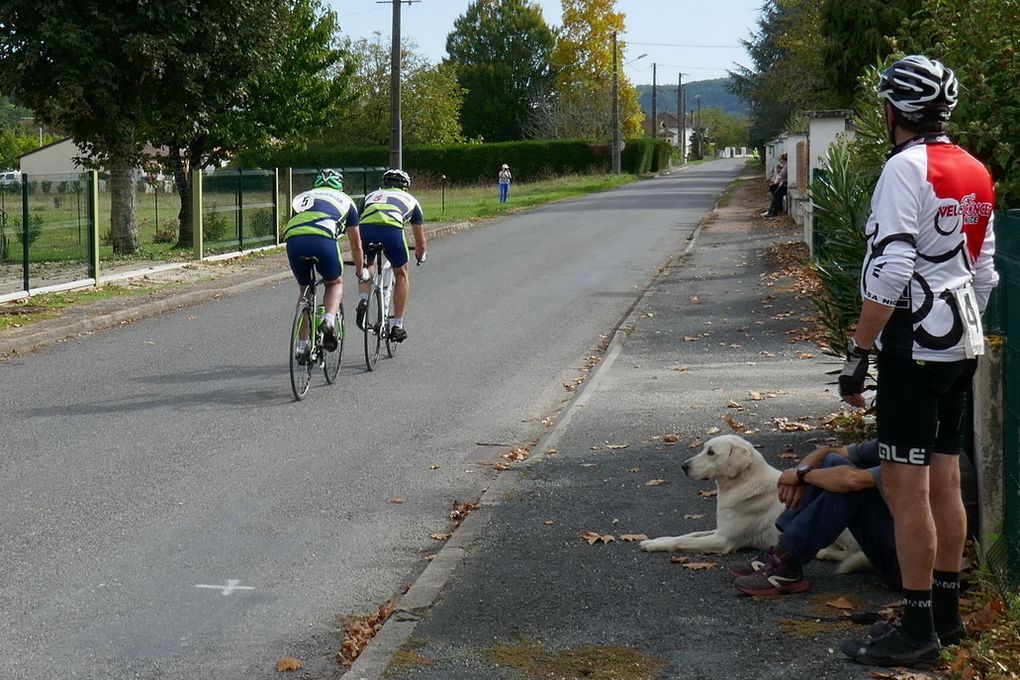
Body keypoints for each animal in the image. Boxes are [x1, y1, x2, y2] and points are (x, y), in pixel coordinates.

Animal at [640, 434, 864, 570]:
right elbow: (686, 535)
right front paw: (655, 540)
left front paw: (656, 546)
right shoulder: (720, 530)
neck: (741, 483)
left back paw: (826, 552)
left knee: (855, 552)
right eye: (704, 449)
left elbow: (682, 541)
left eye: (711, 452)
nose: (683, 466)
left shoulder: (723, 540)